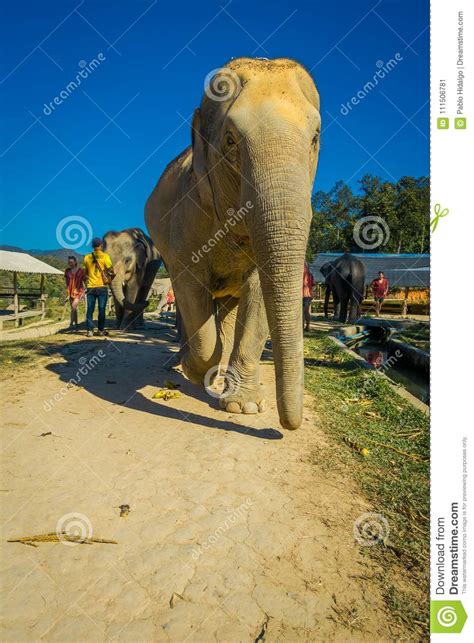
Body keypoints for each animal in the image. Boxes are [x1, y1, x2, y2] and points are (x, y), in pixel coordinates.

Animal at [145, 57, 322, 430]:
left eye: (315, 137)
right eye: (230, 140)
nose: (286, 428)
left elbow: (257, 293)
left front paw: (244, 407)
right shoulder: (189, 214)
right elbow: (191, 287)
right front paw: (194, 371)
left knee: (226, 307)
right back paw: (183, 363)